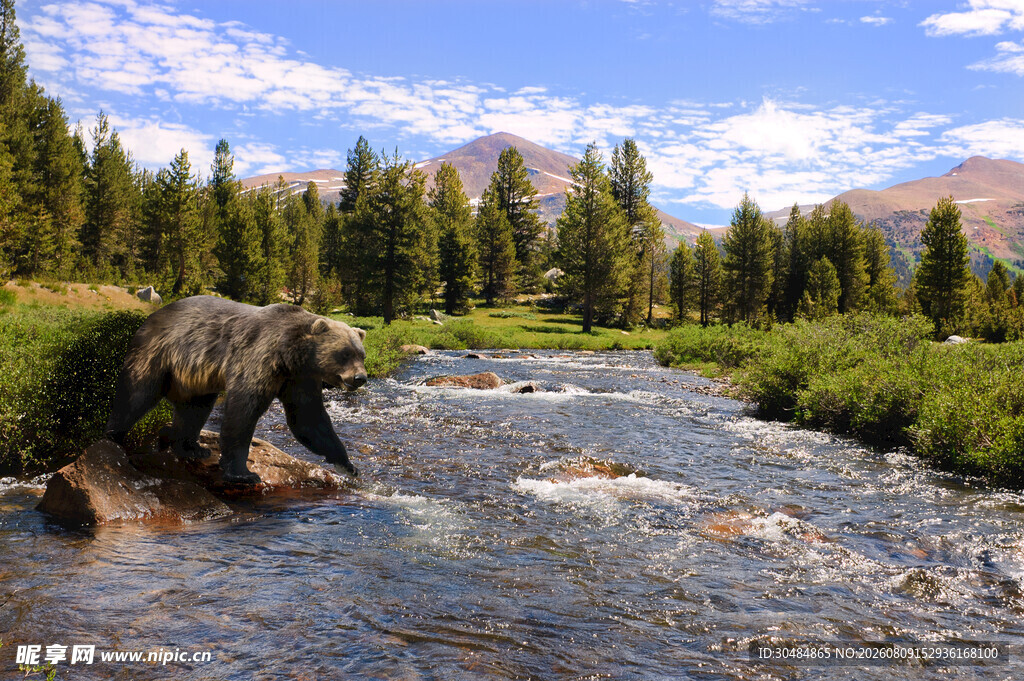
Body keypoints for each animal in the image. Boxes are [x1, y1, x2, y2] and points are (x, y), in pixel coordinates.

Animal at [104, 295, 368, 484]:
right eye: (345, 353)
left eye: (361, 354)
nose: (360, 377)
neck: (290, 354)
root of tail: (151, 317)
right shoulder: (260, 359)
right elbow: (243, 410)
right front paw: (244, 473)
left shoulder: (299, 378)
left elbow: (308, 418)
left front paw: (348, 464)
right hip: (159, 353)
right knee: (136, 395)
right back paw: (114, 436)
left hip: (193, 377)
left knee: (194, 409)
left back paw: (190, 447)